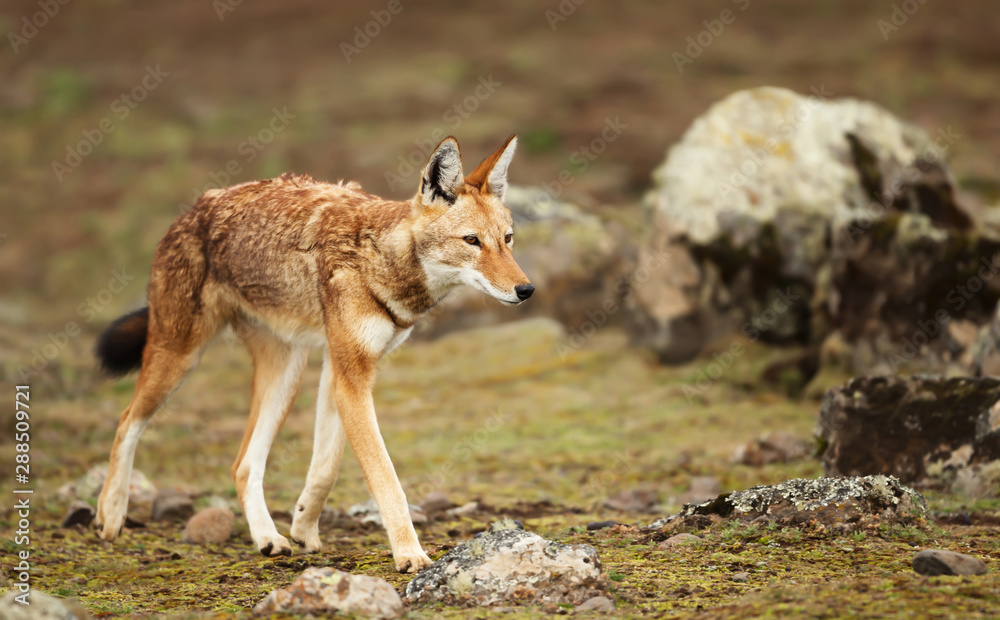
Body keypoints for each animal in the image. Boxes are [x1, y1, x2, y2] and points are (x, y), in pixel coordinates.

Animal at [93, 136, 532, 573]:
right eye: (472, 241)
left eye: (508, 239)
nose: (526, 290)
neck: (381, 261)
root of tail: (192, 210)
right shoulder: (351, 376)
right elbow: (386, 478)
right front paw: (409, 554)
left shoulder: (341, 370)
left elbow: (326, 468)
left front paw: (304, 526)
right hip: (180, 357)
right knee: (126, 421)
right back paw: (110, 515)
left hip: (287, 375)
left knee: (243, 465)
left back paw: (268, 538)